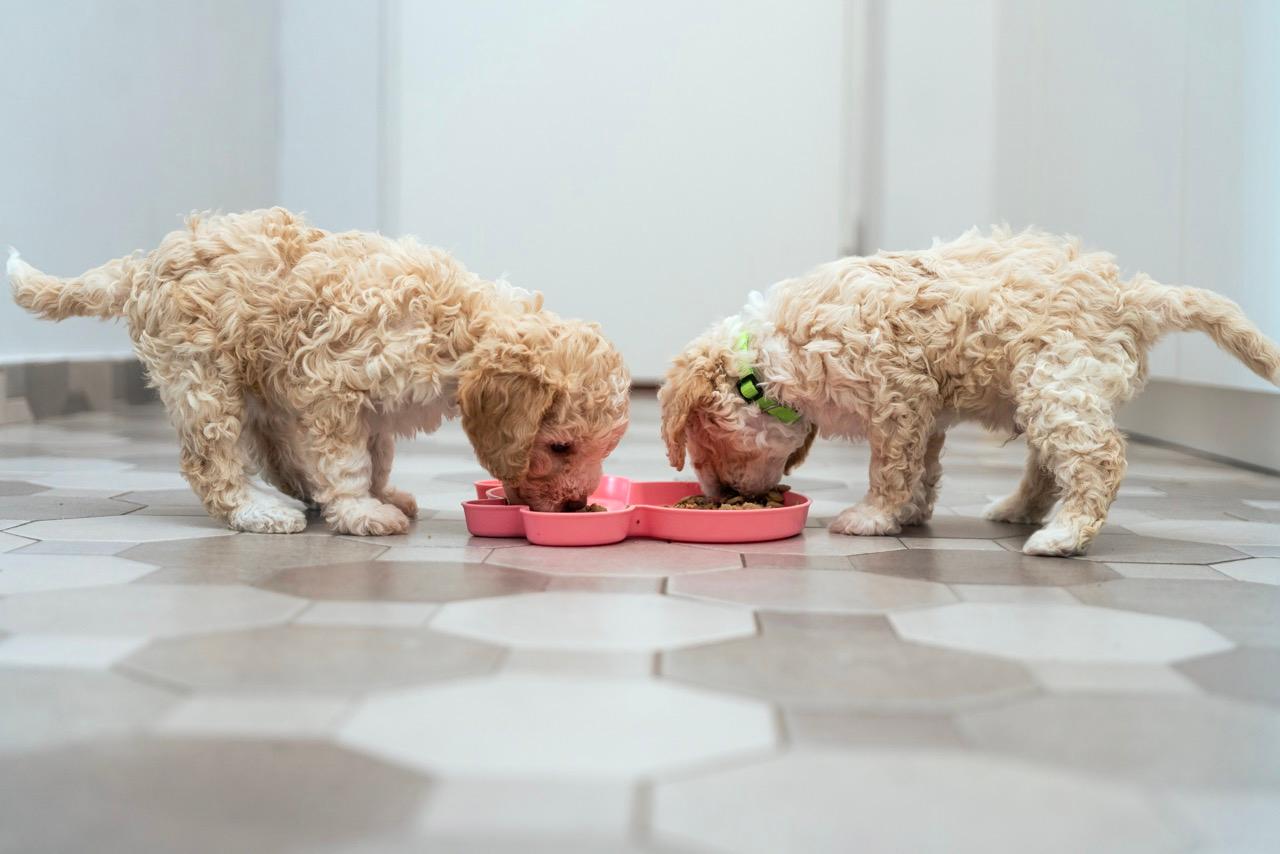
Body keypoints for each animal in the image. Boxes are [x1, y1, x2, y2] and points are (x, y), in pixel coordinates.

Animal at [10, 207, 629, 535]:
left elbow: (377, 456)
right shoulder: (335, 386)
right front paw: (362, 511)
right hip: (202, 375)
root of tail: (142, 268)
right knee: (212, 460)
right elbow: (348, 463)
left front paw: (381, 495)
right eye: (560, 447)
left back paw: (295, 492)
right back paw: (260, 510)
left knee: (271, 447)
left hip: (253, 381)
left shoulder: (372, 406)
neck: (456, 325)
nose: (576, 507)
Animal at [660, 226, 1280, 558]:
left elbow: (890, 466)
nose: (719, 497)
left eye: (703, 449)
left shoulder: (898, 391)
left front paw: (873, 516)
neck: (769, 360)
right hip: (1051, 386)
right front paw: (910, 513)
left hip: (1058, 378)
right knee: (1048, 463)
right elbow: (922, 468)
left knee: (1097, 459)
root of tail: (1129, 298)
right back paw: (1017, 509)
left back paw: (1063, 535)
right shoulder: (924, 410)